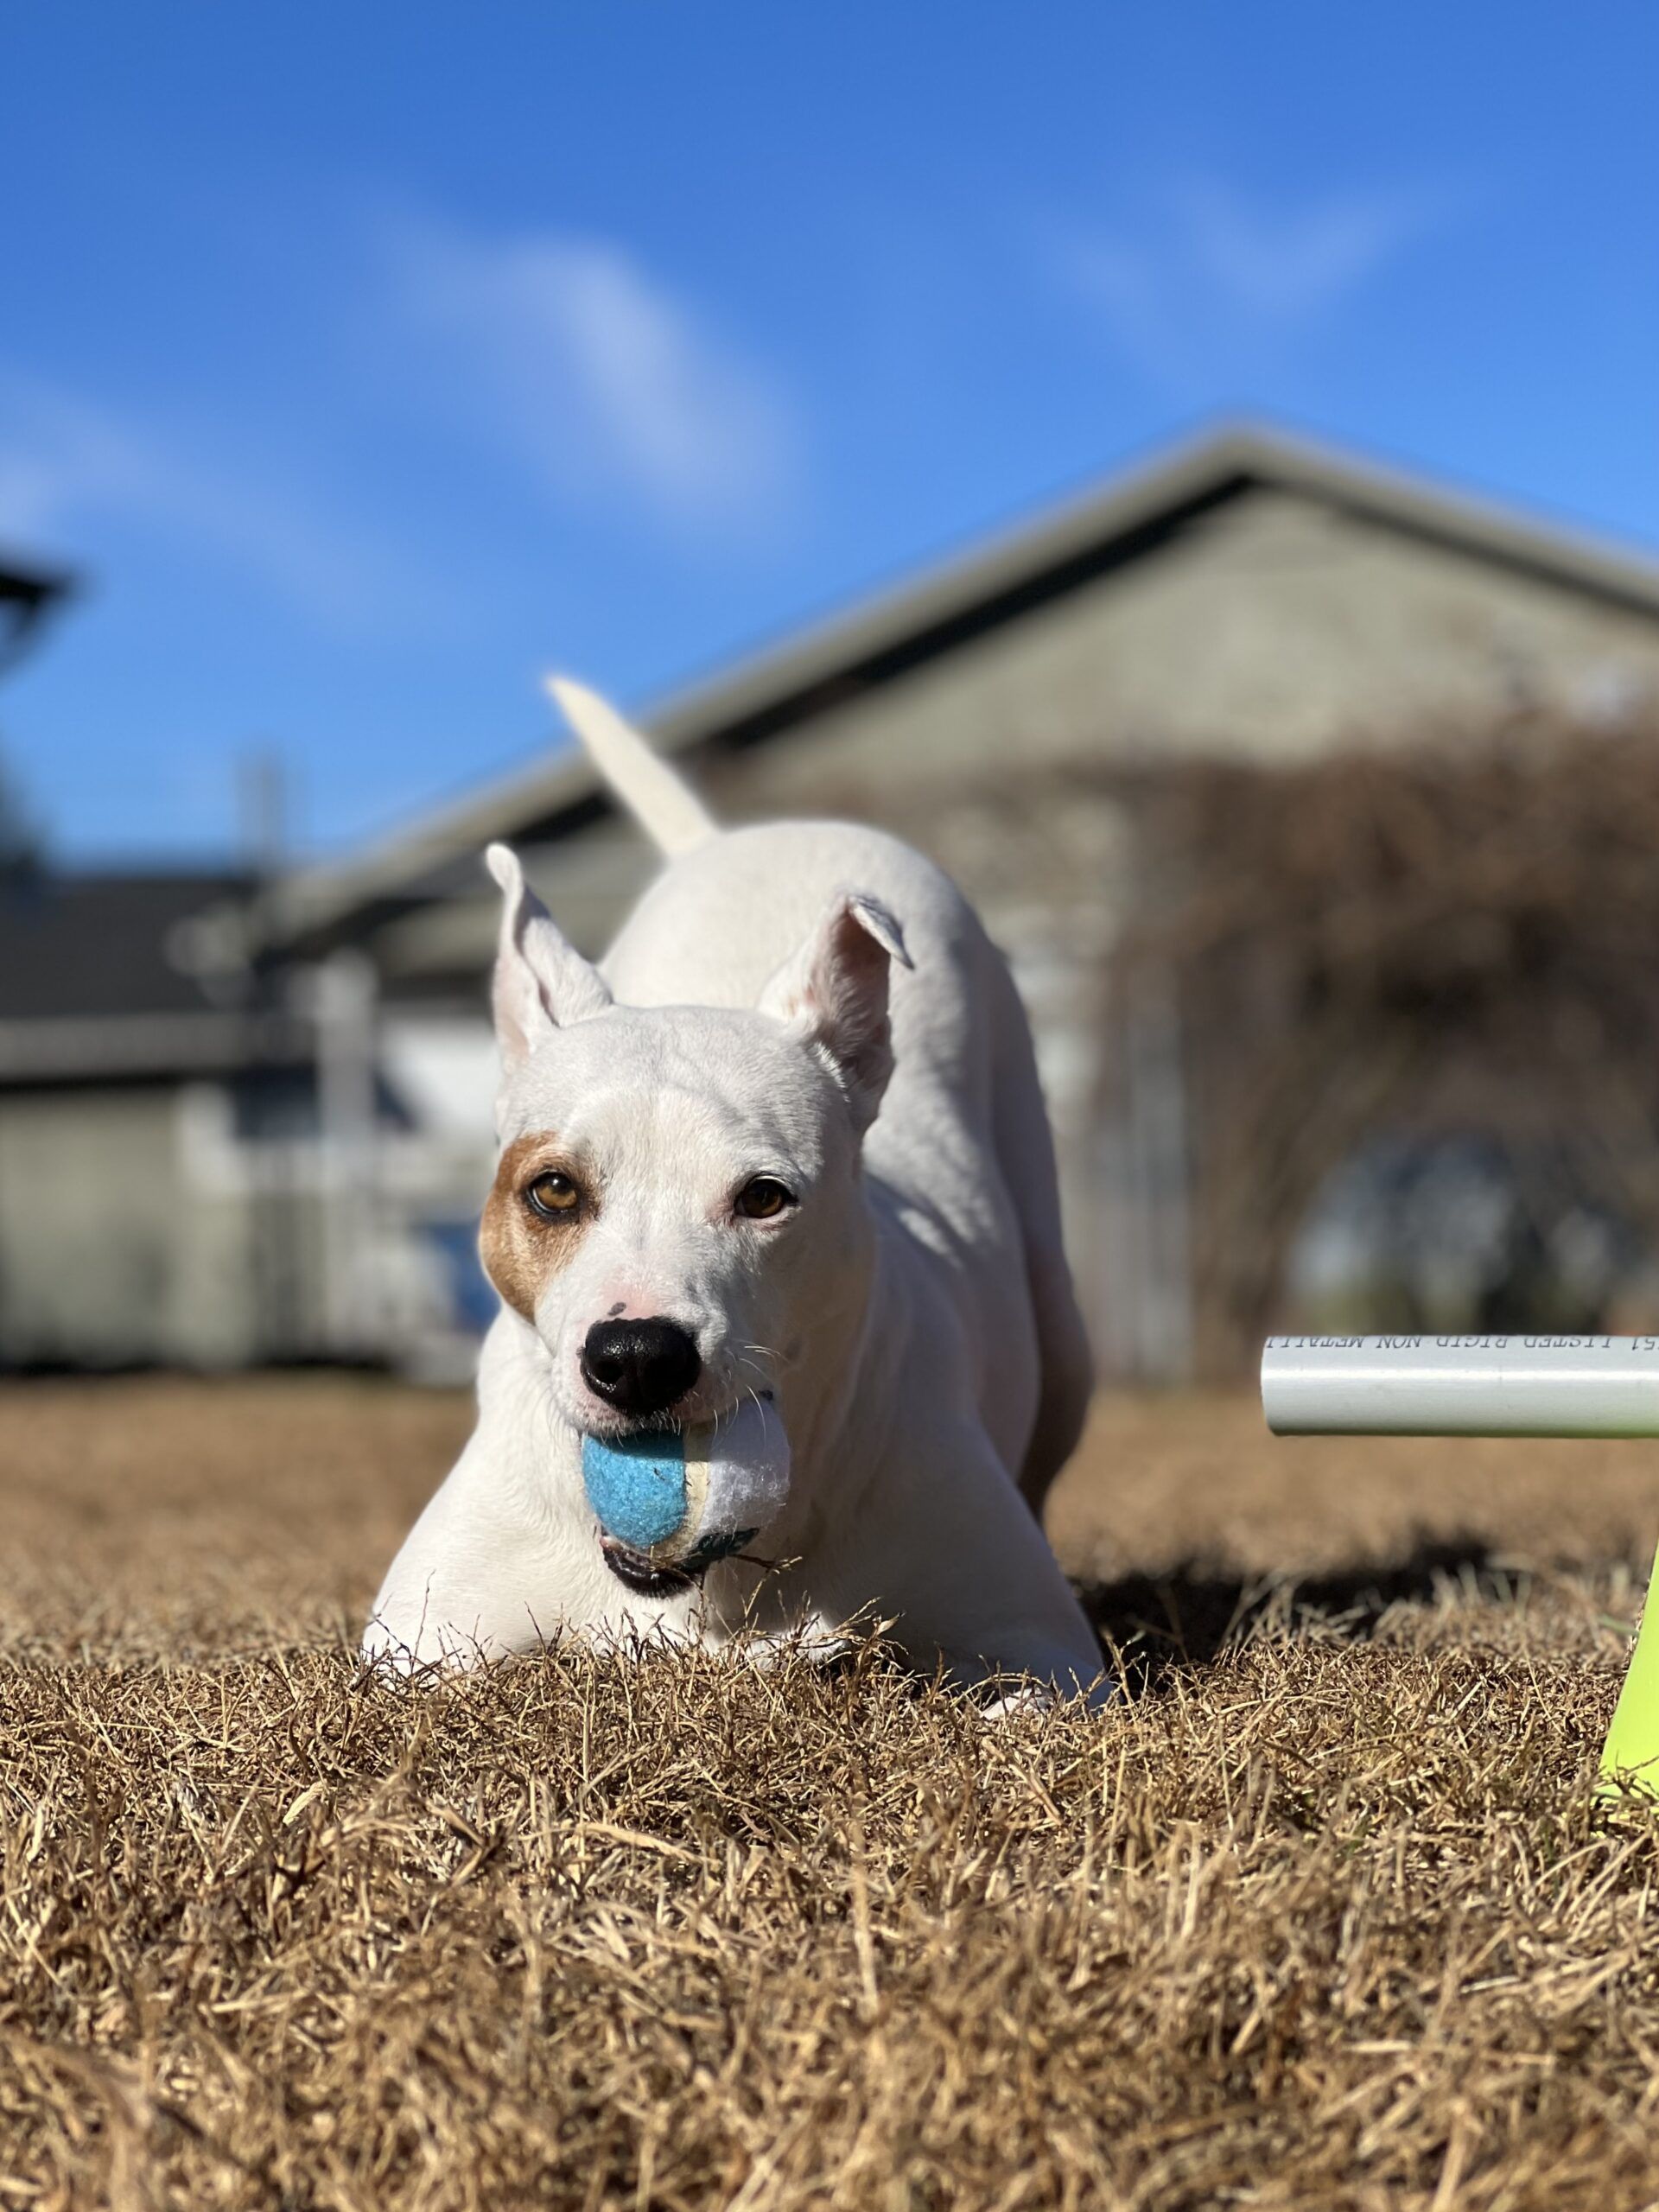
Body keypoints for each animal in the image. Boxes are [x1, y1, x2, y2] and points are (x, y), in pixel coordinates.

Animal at [369, 681, 1110, 1699]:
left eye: (764, 1197)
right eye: (553, 1191)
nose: (638, 1355)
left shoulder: (1046, 1656)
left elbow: (1019, 1692)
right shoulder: (415, 1642)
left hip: (1061, 1325)